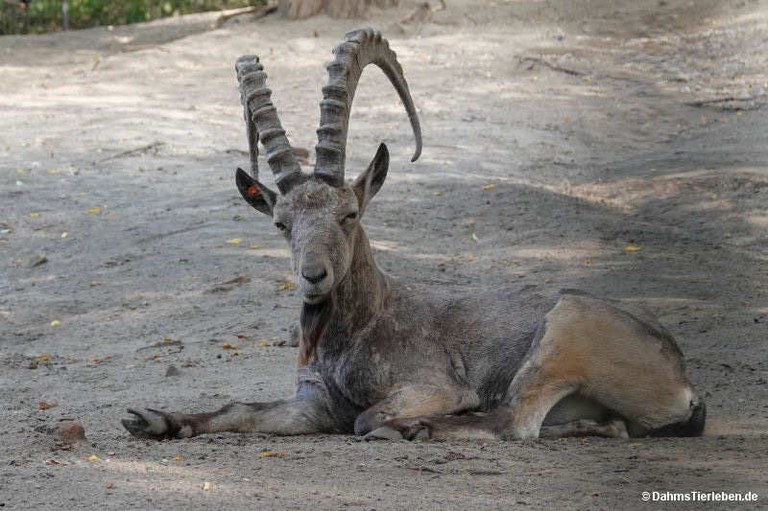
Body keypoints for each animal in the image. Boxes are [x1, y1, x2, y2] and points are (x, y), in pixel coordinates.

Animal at [122, 28, 706, 441]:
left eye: (349, 214)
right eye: (281, 223)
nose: (313, 277)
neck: (361, 325)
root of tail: (682, 382)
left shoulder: (430, 386)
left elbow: (365, 418)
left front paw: (403, 422)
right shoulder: (312, 405)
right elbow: (239, 408)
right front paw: (153, 419)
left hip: (562, 336)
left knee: (514, 422)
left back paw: (414, 430)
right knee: (586, 425)